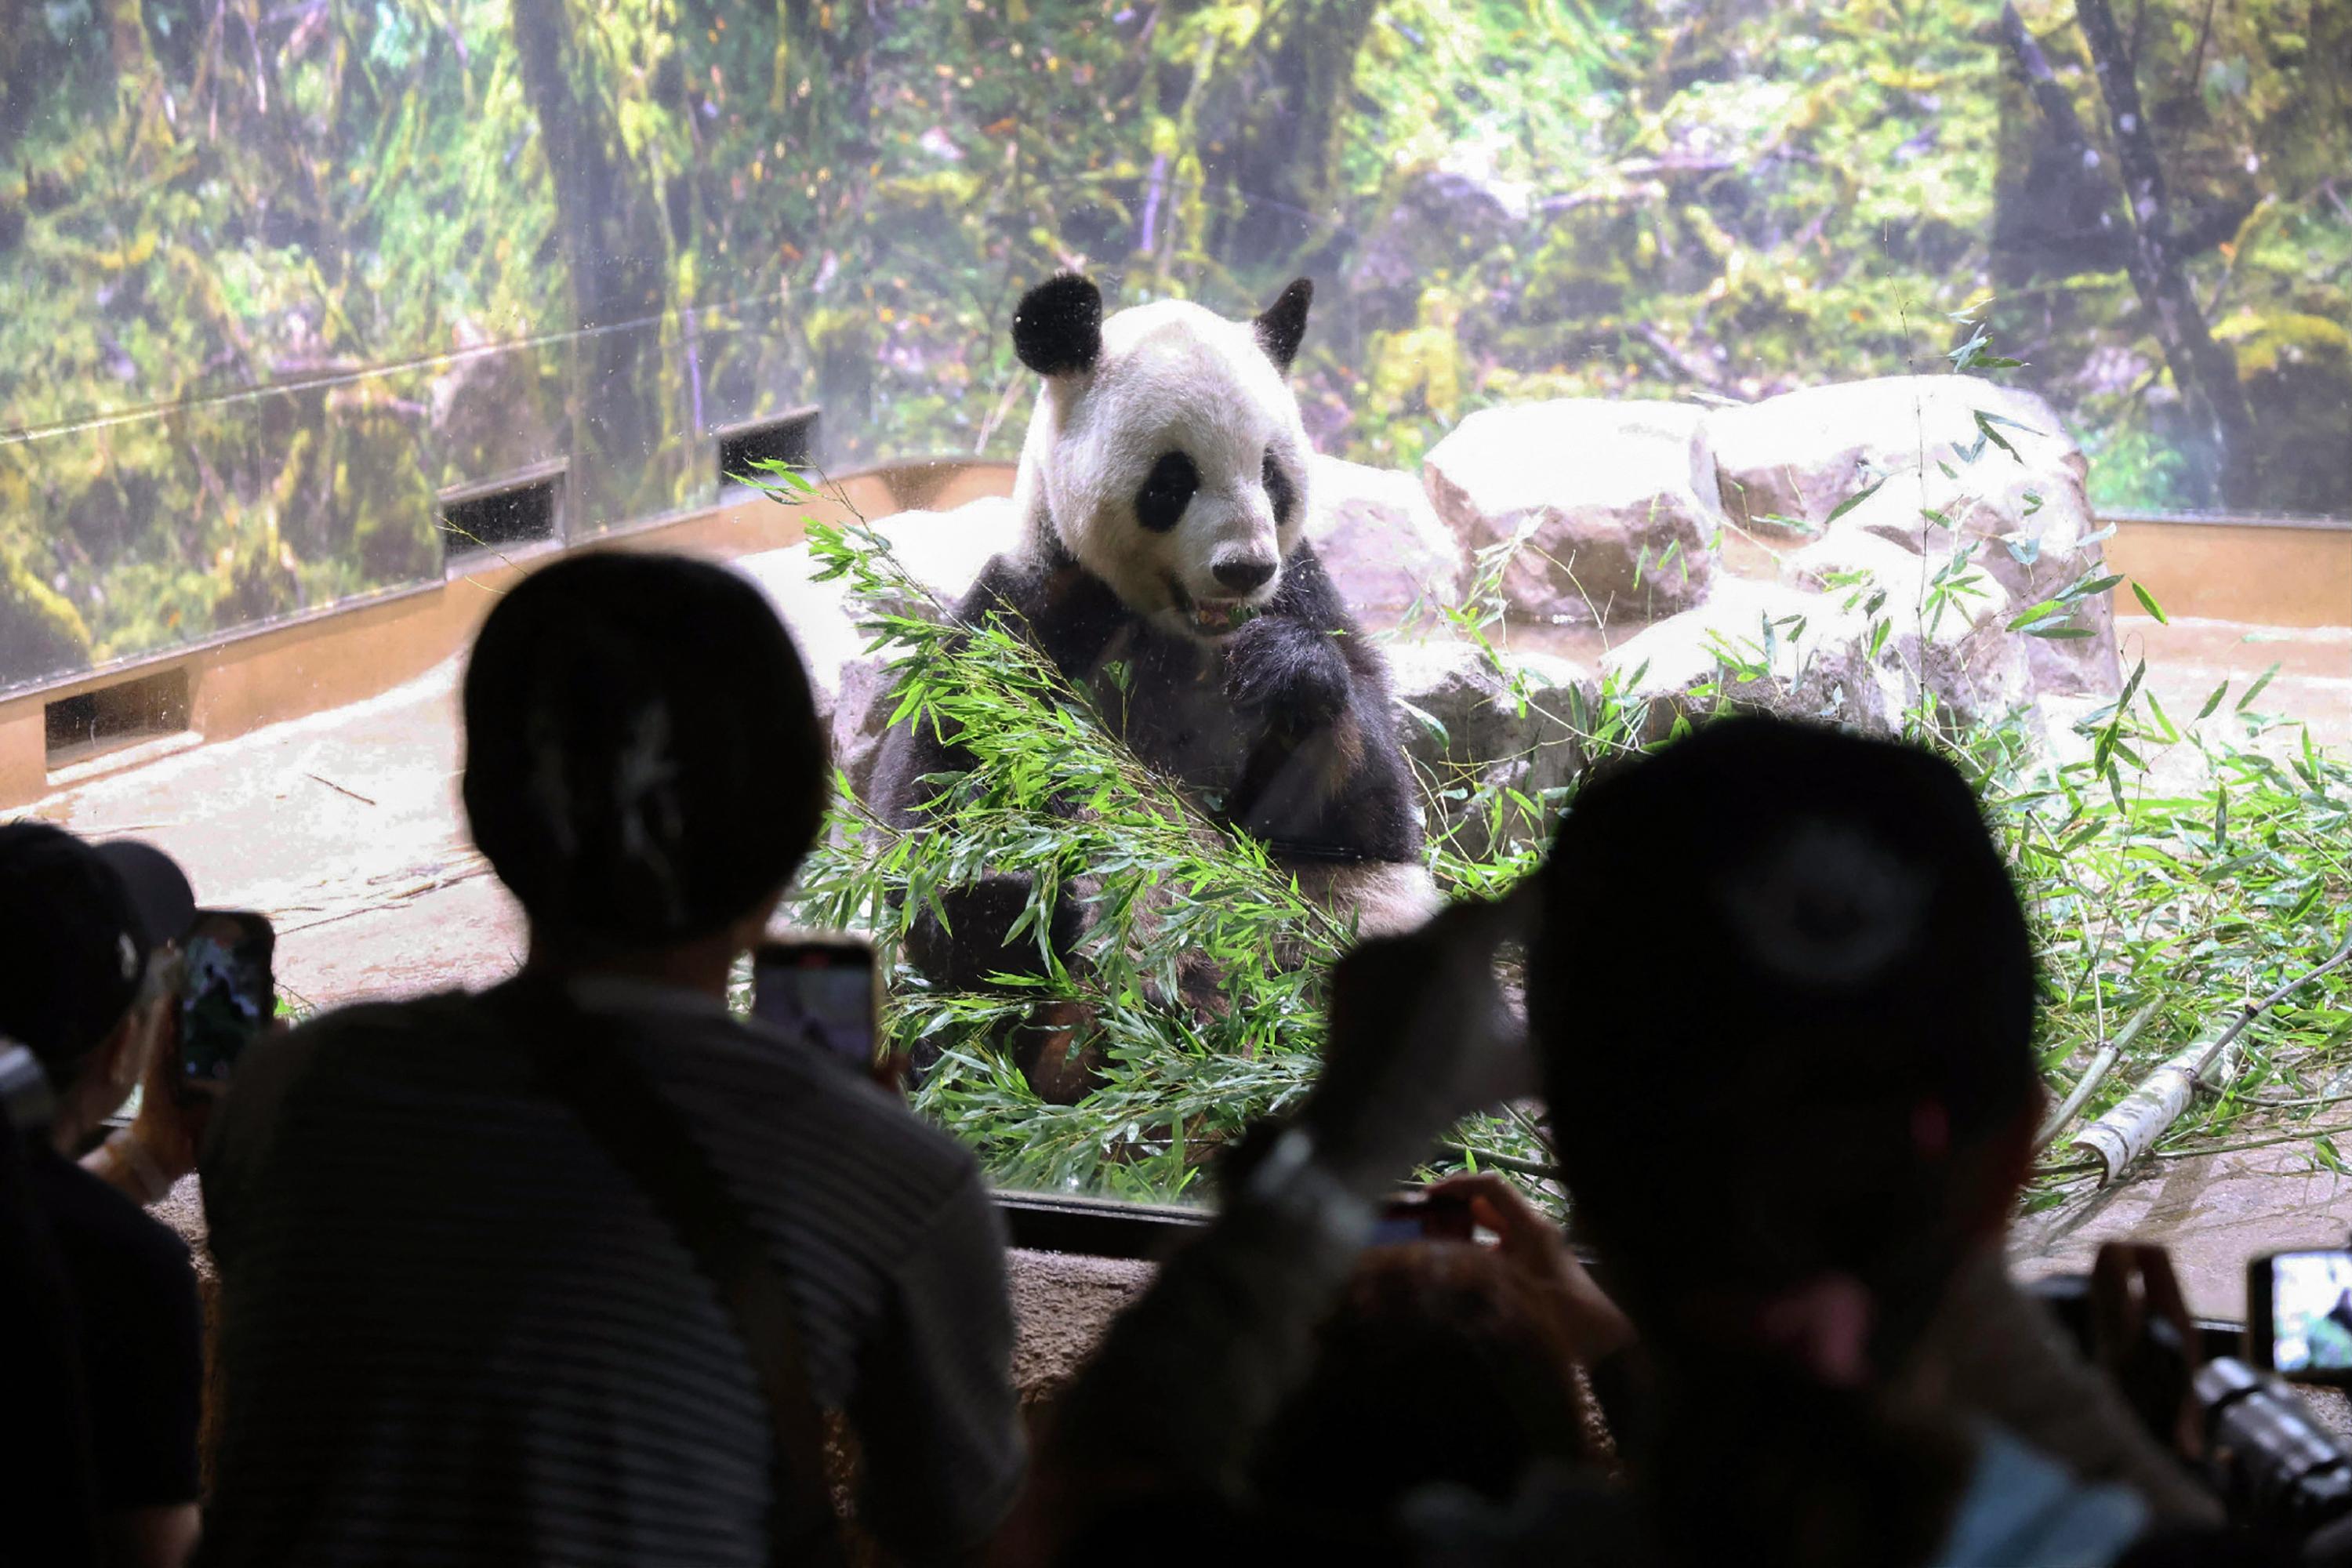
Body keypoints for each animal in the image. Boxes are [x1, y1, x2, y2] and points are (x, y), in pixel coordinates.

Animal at [870, 276, 1430, 1100]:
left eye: (1272, 474)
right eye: (1173, 479)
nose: (1244, 567)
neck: (1181, 628)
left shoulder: (1304, 591)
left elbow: (1372, 809)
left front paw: (1286, 671)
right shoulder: (1032, 612)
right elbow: (933, 787)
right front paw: (990, 894)